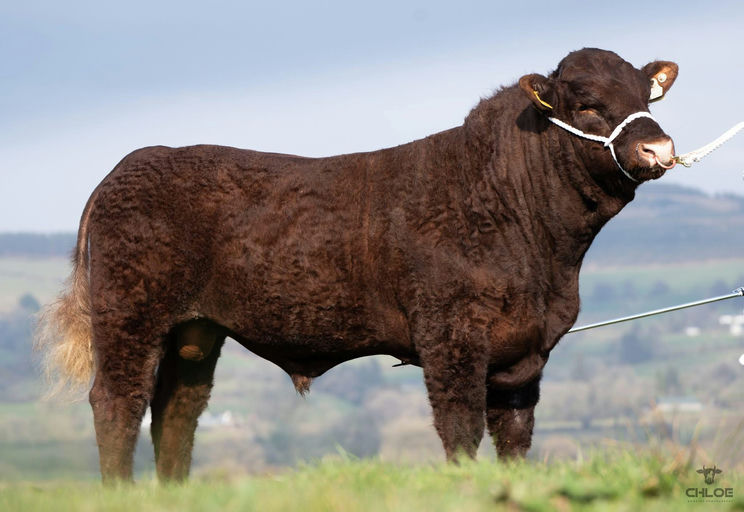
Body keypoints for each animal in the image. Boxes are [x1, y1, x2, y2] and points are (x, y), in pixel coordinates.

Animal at [37, 48, 679, 483]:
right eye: (588, 105)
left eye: (645, 98)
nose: (659, 148)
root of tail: (131, 164)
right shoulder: (450, 336)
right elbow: (461, 428)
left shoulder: (526, 351)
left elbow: (515, 437)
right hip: (130, 313)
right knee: (118, 402)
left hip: (195, 331)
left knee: (177, 411)